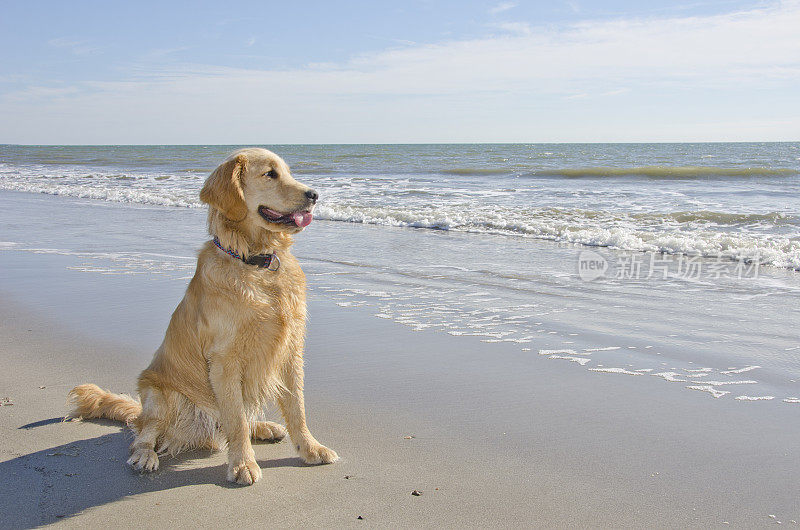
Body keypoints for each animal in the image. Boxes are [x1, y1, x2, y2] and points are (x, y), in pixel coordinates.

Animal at [69, 147, 340, 482]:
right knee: (145, 434)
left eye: (289, 172)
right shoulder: (225, 359)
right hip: (159, 395)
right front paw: (243, 464)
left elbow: (296, 408)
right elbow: (236, 420)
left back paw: (264, 427)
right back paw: (146, 455)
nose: (314, 194)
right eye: (270, 174)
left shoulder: (290, 349)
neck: (255, 262)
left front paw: (310, 448)